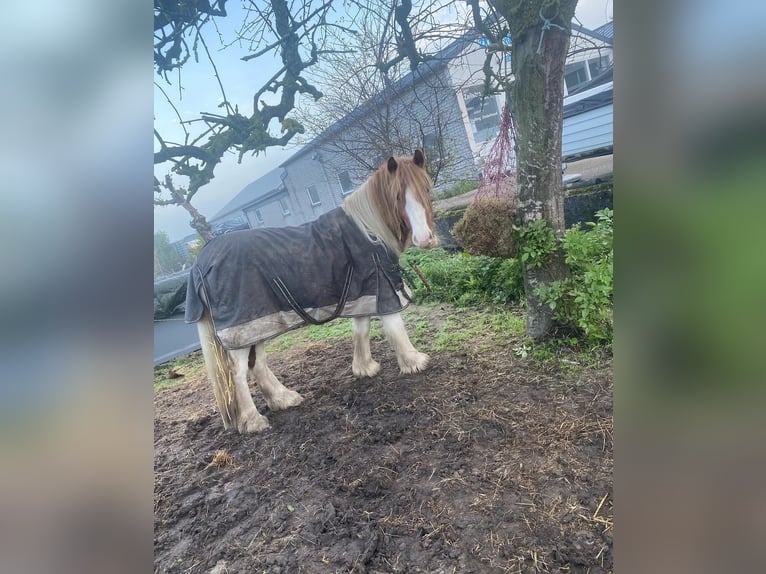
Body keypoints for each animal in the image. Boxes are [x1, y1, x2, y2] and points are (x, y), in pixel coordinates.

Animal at [184, 151, 438, 434]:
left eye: (426, 189)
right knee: (238, 373)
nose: (425, 239)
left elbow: (360, 330)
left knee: (257, 364)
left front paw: (365, 368)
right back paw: (253, 421)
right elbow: (395, 327)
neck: (368, 229)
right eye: (396, 196)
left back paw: (283, 399)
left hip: (257, 326)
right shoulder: (384, 288)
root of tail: (202, 260)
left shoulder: (362, 293)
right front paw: (414, 361)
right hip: (241, 331)